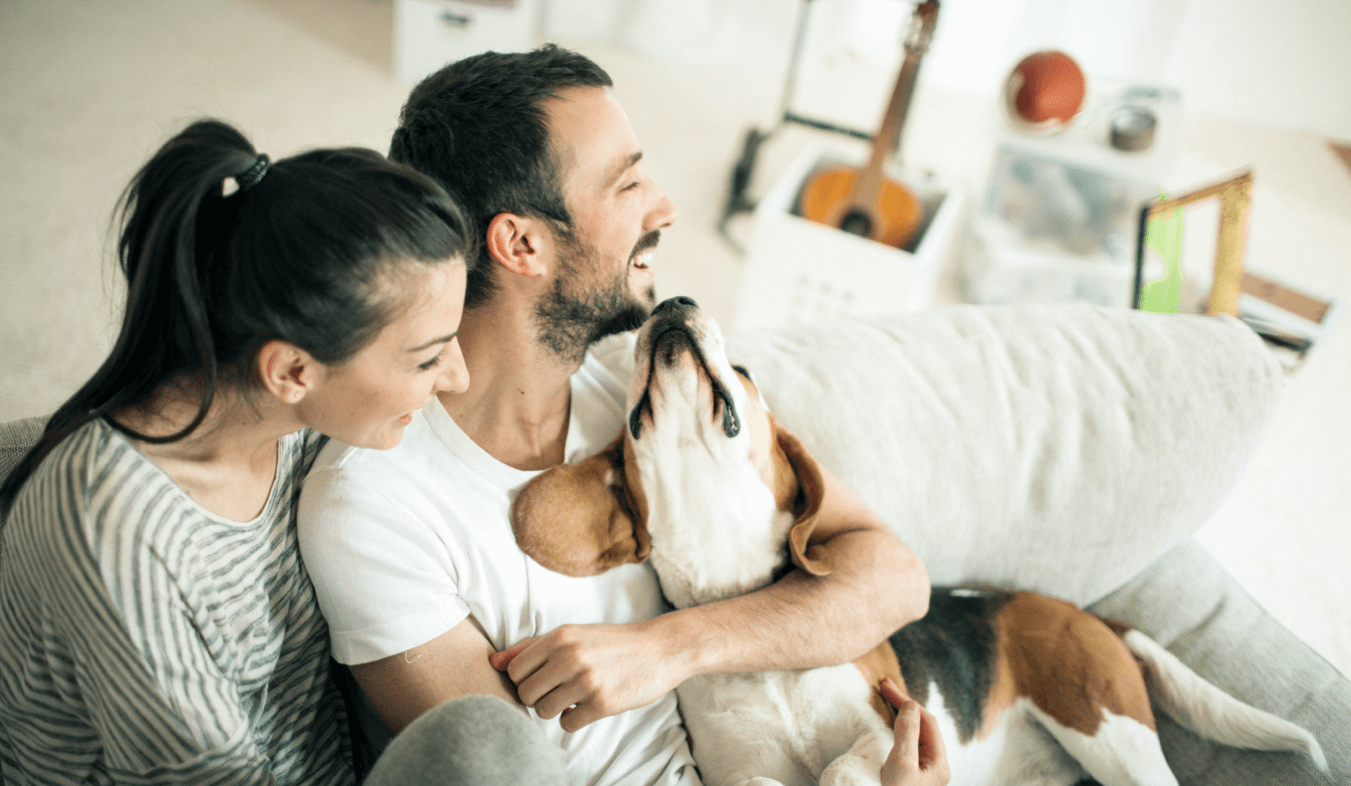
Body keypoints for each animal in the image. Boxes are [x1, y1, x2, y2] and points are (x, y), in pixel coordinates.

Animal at [510, 297, 1323, 786]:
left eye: (741, 370)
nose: (672, 303)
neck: (746, 619)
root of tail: (1078, 612)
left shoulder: (893, 721)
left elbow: (843, 767)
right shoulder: (739, 774)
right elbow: (773, 776)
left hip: (1108, 731)